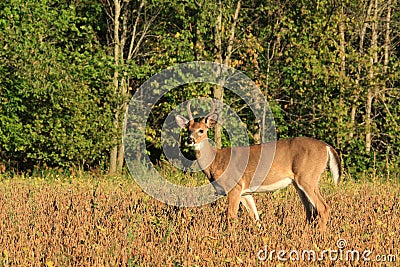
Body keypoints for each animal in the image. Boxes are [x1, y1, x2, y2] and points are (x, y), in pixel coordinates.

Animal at [175, 99, 340, 231]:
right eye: (187, 129)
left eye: (201, 130)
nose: (190, 140)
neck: (216, 161)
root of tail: (327, 147)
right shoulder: (245, 192)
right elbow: (256, 218)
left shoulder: (234, 187)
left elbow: (231, 217)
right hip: (299, 183)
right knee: (310, 212)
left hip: (307, 177)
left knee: (323, 208)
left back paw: (319, 236)